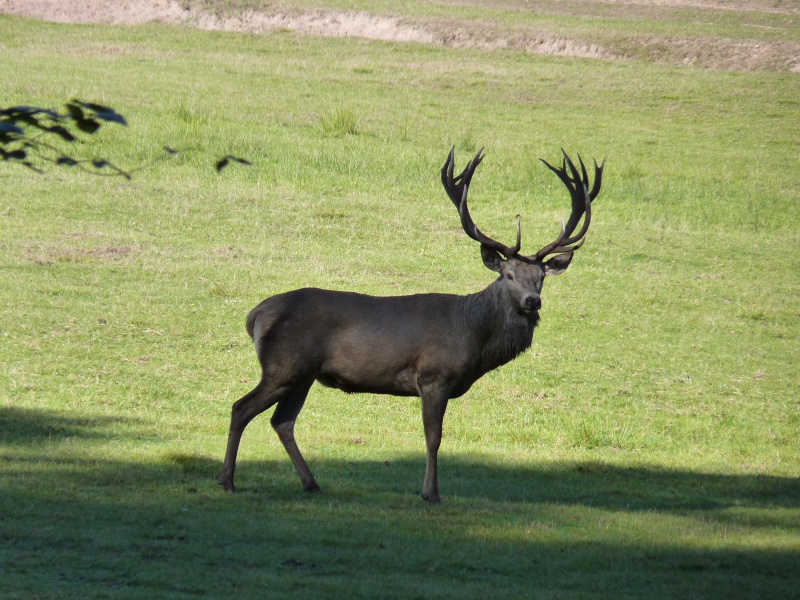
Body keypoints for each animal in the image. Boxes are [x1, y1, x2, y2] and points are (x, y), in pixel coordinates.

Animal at [219, 146, 600, 502]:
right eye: (507, 275)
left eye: (540, 278)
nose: (532, 301)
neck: (475, 338)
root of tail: (255, 315)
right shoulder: (433, 376)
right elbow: (434, 438)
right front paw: (431, 493)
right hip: (283, 366)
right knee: (241, 408)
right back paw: (228, 481)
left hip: (303, 375)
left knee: (282, 420)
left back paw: (311, 483)